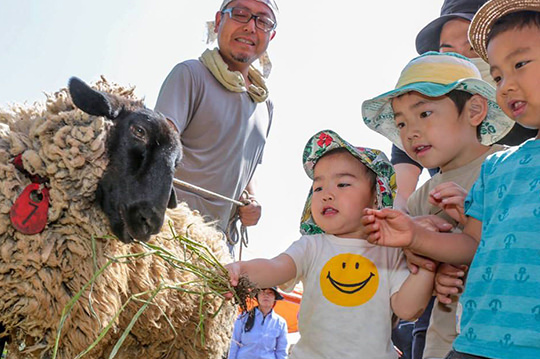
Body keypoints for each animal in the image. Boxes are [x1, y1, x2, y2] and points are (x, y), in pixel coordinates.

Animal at [0, 78, 236, 359]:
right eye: (138, 131)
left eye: (176, 163)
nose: (150, 223)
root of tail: (216, 240)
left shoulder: (64, 330)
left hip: (197, 344)